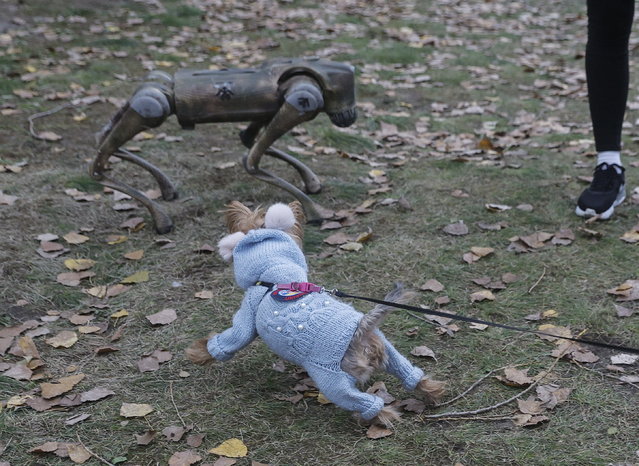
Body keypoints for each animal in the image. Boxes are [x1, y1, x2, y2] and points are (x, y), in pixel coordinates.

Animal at [185, 200, 444, 426]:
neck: (275, 273)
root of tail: (360, 329)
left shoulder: (249, 310)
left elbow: (233, 337)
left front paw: (197, 353)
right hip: (387, 349)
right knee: (409, 372)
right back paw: (433, 391)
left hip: (330, 376)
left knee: (363, 401)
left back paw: (379, 417)